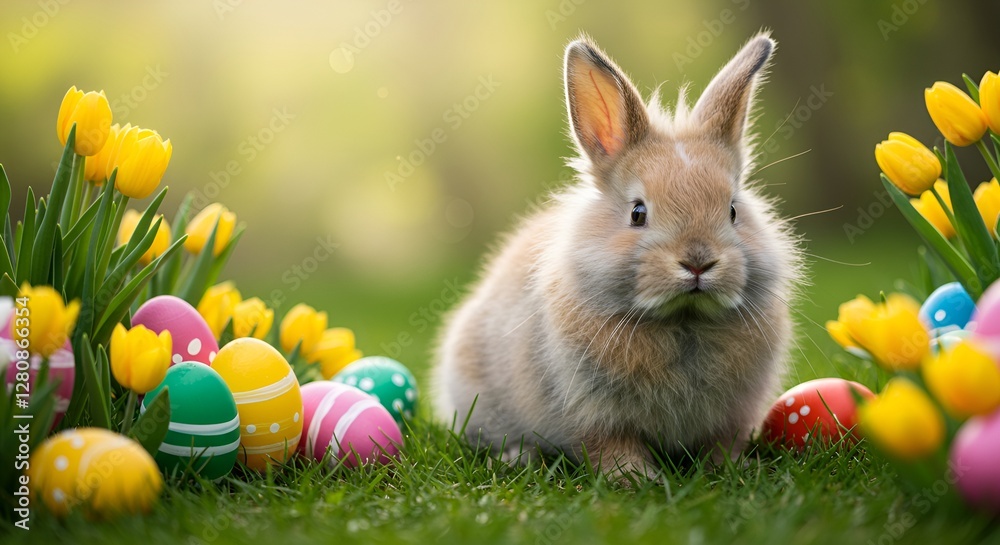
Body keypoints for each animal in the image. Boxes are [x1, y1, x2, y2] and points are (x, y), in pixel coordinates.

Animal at [433, 32, 801, 477]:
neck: (683, 319)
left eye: (733, 210)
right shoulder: (591, 411)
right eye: (637, 213)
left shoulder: (734, 416)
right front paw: (636, 478)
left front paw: (731, 469)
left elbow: (722, 443)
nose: (698, 261)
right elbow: (610, 446)